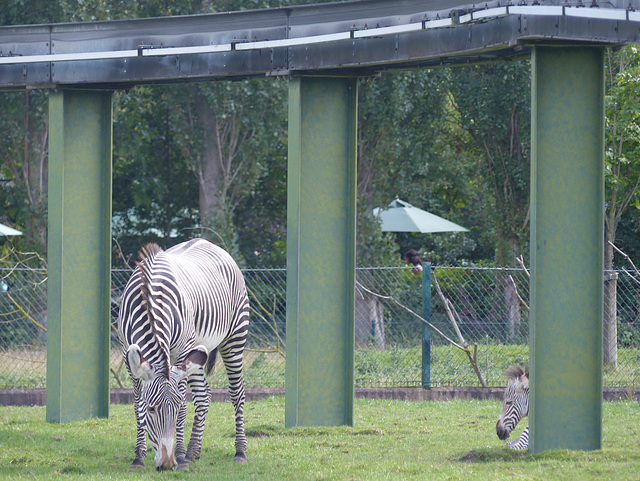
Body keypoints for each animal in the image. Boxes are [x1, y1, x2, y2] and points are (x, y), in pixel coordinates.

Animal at [117, 238, 250, 470]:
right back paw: (193, 451)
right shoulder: (128, 353)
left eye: (177, 407)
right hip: (197, 352)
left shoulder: (181, 353)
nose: (167, 465)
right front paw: (138, 457)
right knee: (204, 396)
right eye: (151, 409)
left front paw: (179, 456)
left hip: (233, 339)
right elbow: (136, 405)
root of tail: (210, 243)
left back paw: (239, 451)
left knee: (237, 393)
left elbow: (184, 407)